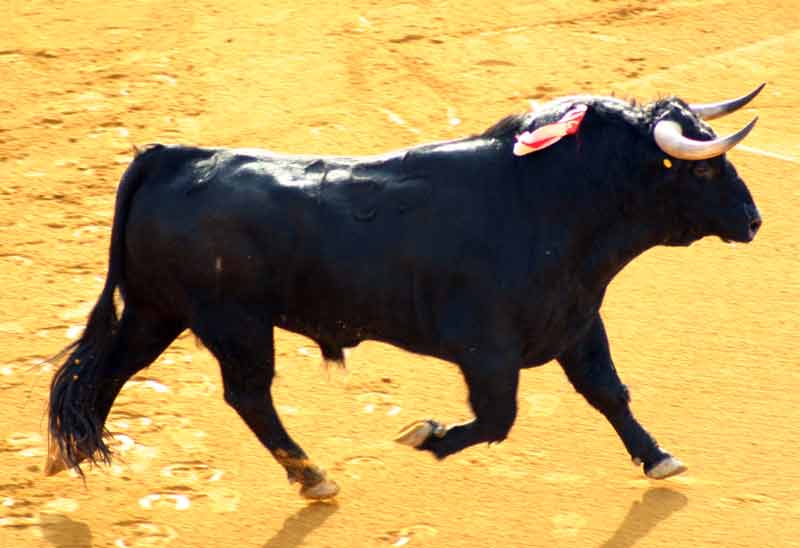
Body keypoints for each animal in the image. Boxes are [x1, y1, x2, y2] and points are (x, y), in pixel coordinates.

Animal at [45, 88, 764, 498]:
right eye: (700, 168)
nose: (754, 220)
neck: (551, 204)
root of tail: (172, 156)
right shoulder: (488, 352)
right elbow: (498, 420)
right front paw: (424, 435)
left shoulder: (579, 324)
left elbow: (610, 393)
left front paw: (660, 458)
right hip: (235, 326)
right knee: (246, 396)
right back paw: (313, 476)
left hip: (156, 311)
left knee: (104, 370)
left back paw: (65, 451)